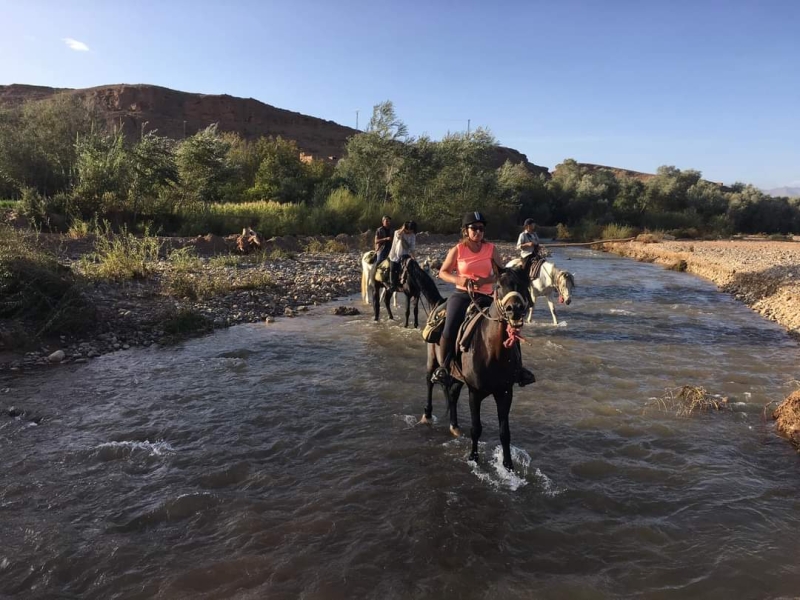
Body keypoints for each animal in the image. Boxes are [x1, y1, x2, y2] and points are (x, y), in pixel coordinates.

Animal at [422, 264, 536, 472]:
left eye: (524, 285)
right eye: (498, 286)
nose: (514, 309)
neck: (493, 352)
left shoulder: (505, 393)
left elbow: (504, 432)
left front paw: (508, 466)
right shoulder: (474, 392)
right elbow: (476, 428)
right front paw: (473, 458)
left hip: (457, 376)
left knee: (452, 393)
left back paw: (454, 426)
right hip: (432, 359)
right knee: (429, 382)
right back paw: (426, 415)